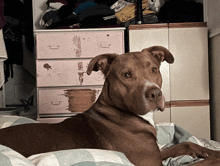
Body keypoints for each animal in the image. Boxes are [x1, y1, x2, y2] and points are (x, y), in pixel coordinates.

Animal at [0, 46, 220, 165]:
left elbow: (185, 144)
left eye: (154, 69)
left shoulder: (156, 153)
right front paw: (212, 158)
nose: (155, 93)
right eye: (126, 75)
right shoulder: (150, 163)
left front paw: (210, 151)